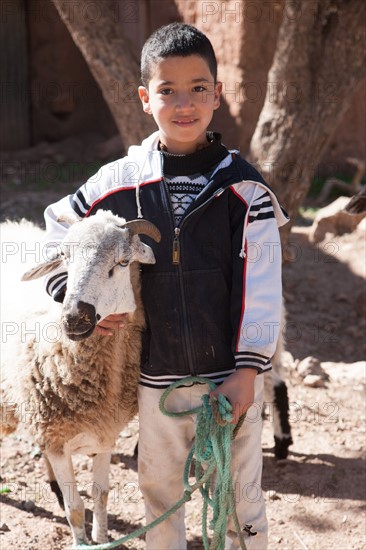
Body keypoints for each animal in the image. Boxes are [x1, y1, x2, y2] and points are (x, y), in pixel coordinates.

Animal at [0, 211, 160, 548]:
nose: (74, 317)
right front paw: (82, 542)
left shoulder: (104, 434)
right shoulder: (57, 440)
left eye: (122, 262)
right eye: (64, 258)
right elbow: (75, 508)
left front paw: (101, 538)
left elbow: (101, 494)